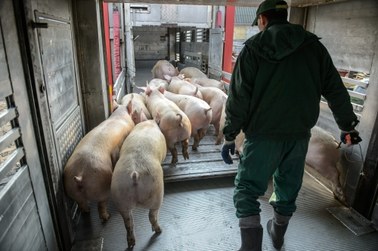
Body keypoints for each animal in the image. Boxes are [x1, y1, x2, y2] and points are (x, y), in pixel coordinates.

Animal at [110, 120, 167, 249]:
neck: (148, 124)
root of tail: (135, 174)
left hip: (121, 197)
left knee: (128, 223)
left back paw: (131, 243)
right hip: (156, 192)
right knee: (152, 215)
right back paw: (159, 230)